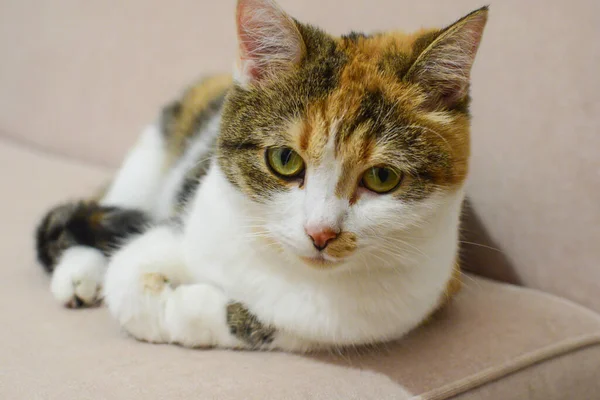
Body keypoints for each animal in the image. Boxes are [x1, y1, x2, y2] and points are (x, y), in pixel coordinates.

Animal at [34, 0, 488, 352]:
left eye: (381, 177)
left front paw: (188, 308)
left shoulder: (405, 304)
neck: (291, 271)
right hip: (154, 154)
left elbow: (270, 325)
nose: (321, 233)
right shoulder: (185, 227)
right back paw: (78, 273)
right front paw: (166, 302)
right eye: (285, 159)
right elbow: (129, 281)